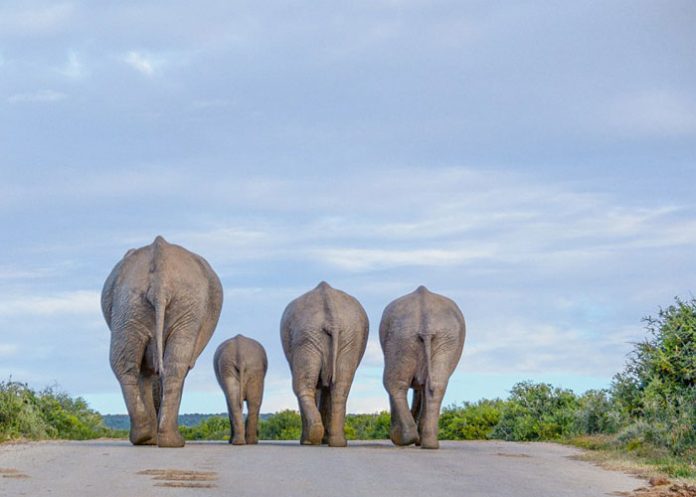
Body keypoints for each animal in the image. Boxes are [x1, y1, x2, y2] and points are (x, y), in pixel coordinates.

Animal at [101, 235, 223, 447]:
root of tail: (160, 279)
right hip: (176, 304)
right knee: (172, 365)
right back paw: (167, 440)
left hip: (129, 305)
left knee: (128, 365)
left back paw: (147, 437)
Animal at [280, 281, 369, 447]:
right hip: (346, 337)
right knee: (340, 387)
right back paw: (336, 442)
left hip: (308, 336)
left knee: (303, 385)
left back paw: (311, 440)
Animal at [380, 285, 465, 449]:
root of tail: (426, 321)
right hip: (440, 338)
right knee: (435, 385)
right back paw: (428, 443)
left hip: (404, 337)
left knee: (394, 383)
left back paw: (407, 439)